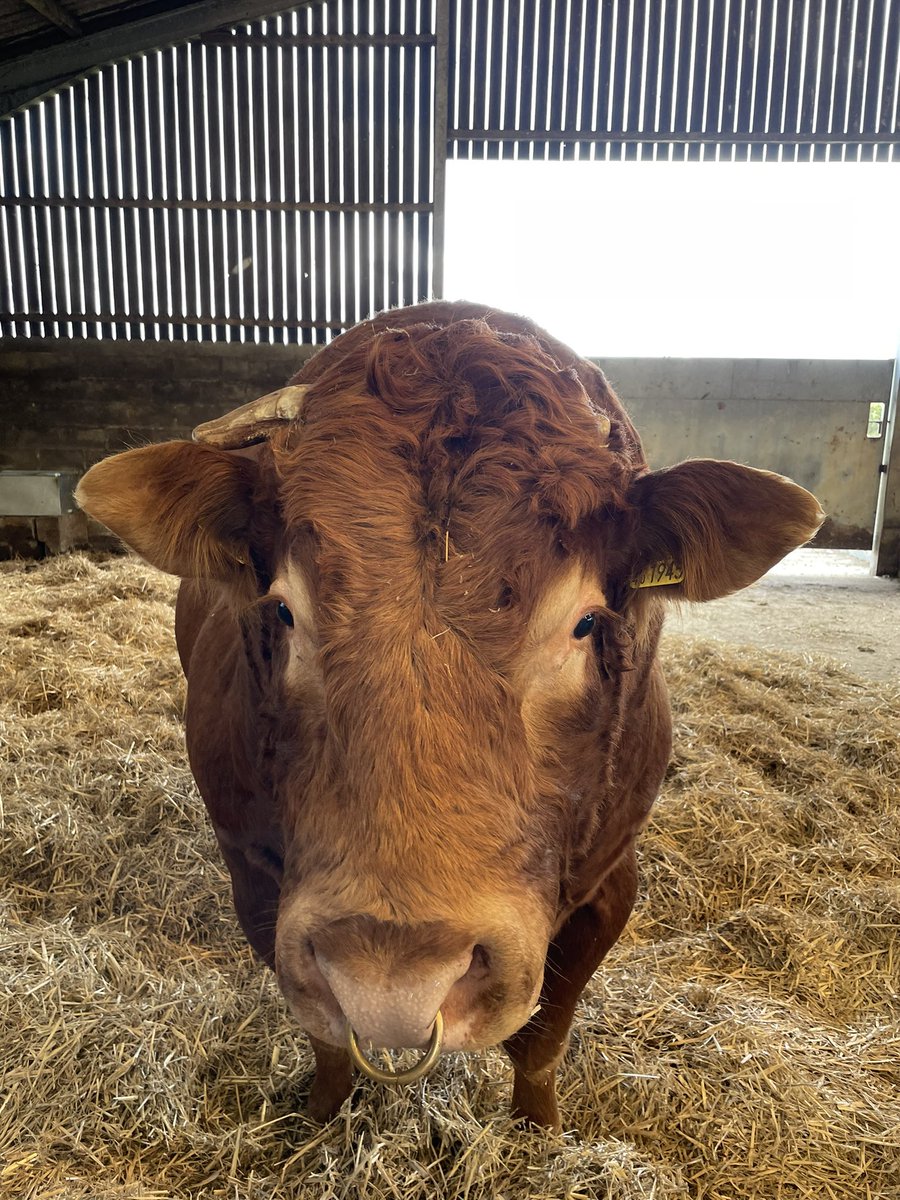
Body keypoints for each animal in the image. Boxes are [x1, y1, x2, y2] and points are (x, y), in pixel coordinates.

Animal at [75, 302, 823, 1129]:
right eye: (283, 611)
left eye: (585, 624)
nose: (392, 987)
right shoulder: (256, 878)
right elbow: (326, 1038)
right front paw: (321, 1119)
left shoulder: (611, 881)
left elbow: (544, 1040)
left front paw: (539, 1131)